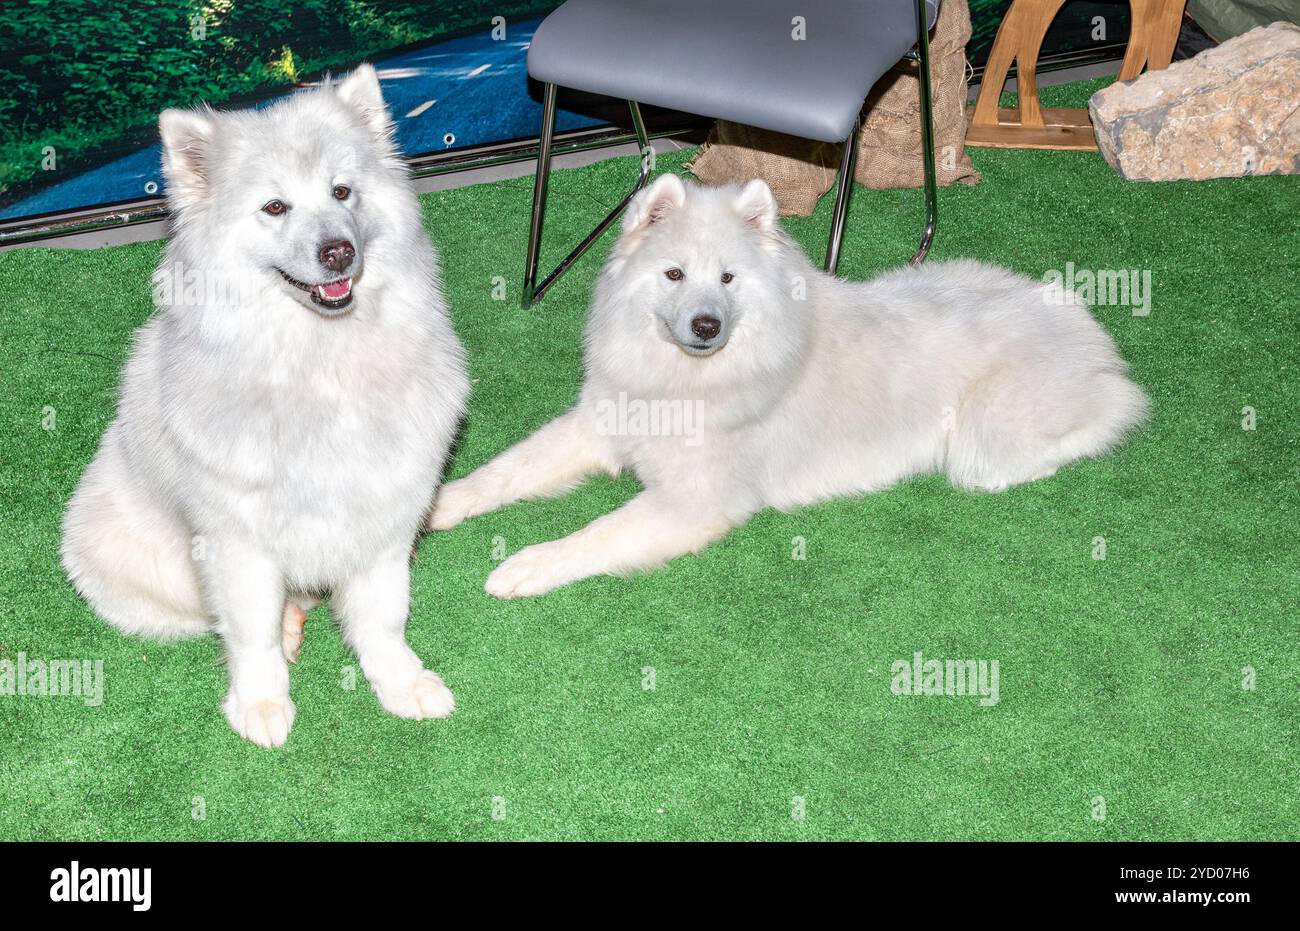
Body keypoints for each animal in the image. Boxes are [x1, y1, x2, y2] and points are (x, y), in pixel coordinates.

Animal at [62, 65, 467, 743]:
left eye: (342, 192)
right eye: (275, 207)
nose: (338, 251)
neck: (320, 363)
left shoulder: (382, 516)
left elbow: (384, 619)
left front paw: (401, 684)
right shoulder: (237, 542)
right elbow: (250, 633)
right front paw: (260, 704)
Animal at [428, 174, 1149, 595]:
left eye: (727, 278)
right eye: (673, 274)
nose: (707, 324)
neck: (687, 379)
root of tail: (1087, 328)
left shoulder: (693, 503)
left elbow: (597, 534)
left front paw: (527, 564)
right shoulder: (600, 425)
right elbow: (504, 470)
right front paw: (438, 504)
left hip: (984, 439)